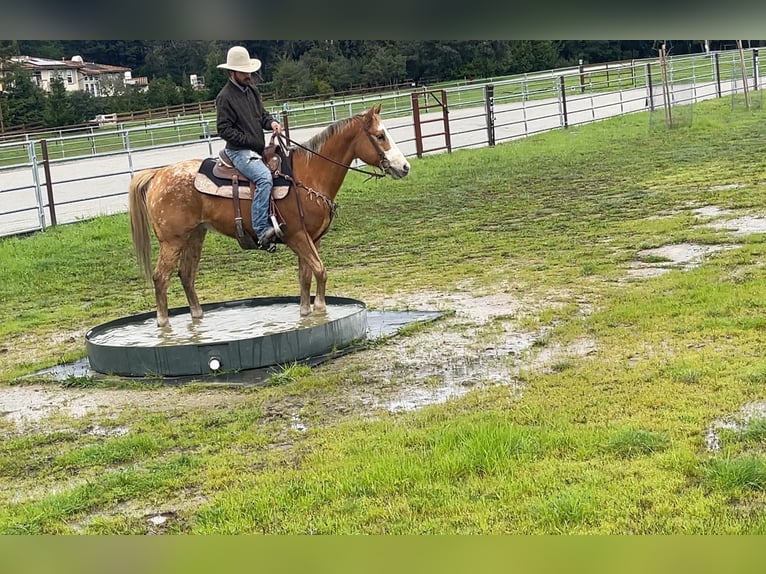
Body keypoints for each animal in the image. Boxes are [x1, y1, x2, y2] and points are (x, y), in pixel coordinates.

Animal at [129, 104, 412, 328]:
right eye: (380, 136)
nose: (405, 167)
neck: (308, 176)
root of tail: (157, 174)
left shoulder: (312, 239)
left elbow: (306, 276)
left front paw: (307, 314)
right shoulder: (297, 236)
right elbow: (320, 271)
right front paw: (321, 312)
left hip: (195, 236)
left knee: (186, 276)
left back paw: (198, 319)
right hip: (172, 241)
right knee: (161, 278)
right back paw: (163, 325)